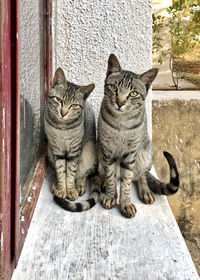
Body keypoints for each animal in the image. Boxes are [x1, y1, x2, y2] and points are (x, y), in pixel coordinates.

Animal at [44, 68, 100, 212]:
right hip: (49, 150)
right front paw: (61, 189)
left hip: (90, 148)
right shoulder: (57, 149)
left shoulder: (74, 150)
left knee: (84, 173)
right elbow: (60, 170)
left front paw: (70, 190)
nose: (63, 113)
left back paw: (79, 185)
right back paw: (55, 183)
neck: (62, 127)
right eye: (58, 100)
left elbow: (71, 171)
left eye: (74, 105)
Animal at [97, 53, 179, 218]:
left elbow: (126, 182)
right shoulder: (108, 150)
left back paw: (145, 190)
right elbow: (111, 175)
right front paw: (111, 195)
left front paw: (126, 203)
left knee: (141, 175)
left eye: (133, 93)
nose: (120, 102)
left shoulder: (130, 153)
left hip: (146, 152)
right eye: (114, 88)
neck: (121, 123)